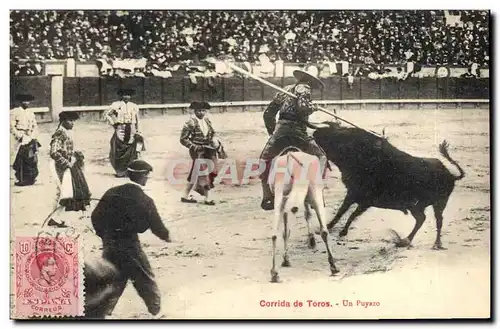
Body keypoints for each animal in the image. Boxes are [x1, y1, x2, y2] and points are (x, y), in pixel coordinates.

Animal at [312, 122, 464, 249]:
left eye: (342, 137)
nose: (316, 132)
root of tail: (450, 174)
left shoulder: (364, 199)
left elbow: (350, 213)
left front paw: (340, 231)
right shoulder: (355, 195)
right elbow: (344, 211)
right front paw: (331, 227)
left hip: (436, 204)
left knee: (436, 221)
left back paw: (432, 243)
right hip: (420, 206)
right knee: (423, 219)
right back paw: (408, 240)